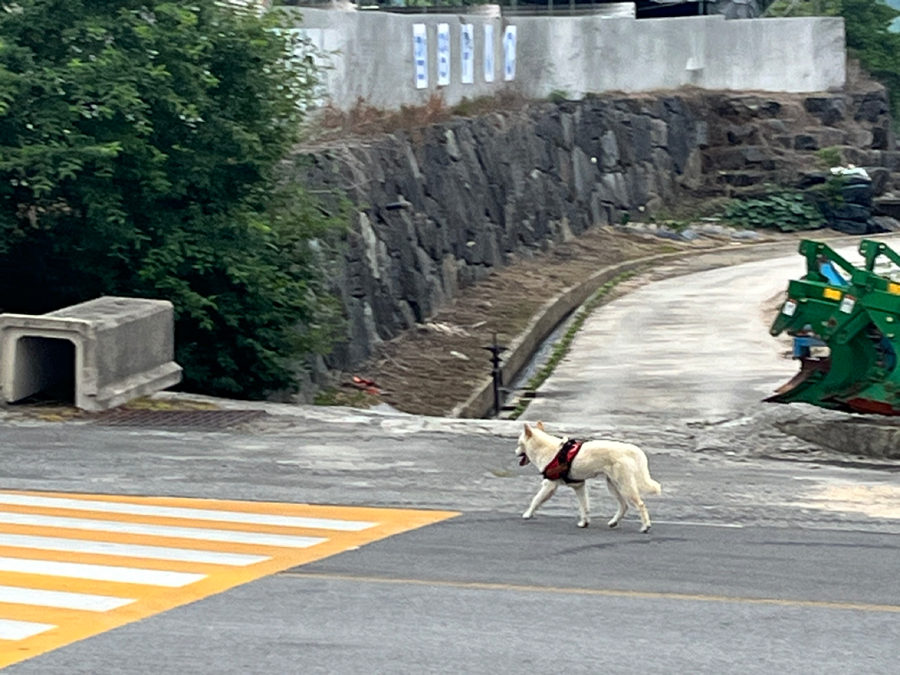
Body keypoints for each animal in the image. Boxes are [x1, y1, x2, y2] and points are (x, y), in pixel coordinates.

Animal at [512, 422, 660, 532]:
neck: (547, 450)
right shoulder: (579, 486)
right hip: (613, 486)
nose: (514, 452)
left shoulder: (550, 485)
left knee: (640, 504)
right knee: (624, 506)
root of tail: (633, 449)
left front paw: (527, 514)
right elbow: (584, 506)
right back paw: (613, 522)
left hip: (624, 486)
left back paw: (645, 526)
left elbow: (536, 500)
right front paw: (584, 522)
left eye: (519, 444)